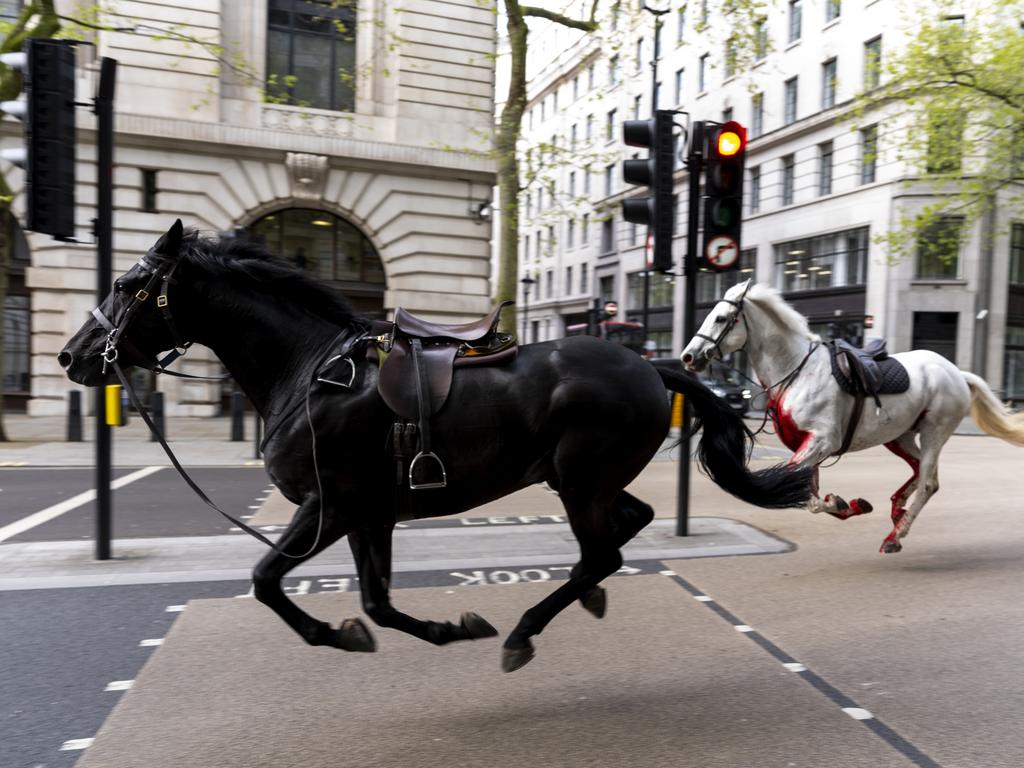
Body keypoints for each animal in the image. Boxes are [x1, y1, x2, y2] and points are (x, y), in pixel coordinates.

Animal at [59, 219, 811, 671]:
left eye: (127, 284)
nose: (73, 357)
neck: (308, 371)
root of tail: (650, 366)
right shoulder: (369, 515)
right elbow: (376, 603)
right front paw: (442, 629)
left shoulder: (329, 506)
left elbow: (268, 580)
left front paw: (335, 634)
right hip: (581, 479)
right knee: (627, 528)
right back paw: (581, 598)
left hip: (578, 479)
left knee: (603, 550)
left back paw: (526, 630)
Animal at [679, 280, 1024, 552]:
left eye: (721, 318)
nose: (688, 356)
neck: (797, 370)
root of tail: (956, 372)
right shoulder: (809, 446)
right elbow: (808, 491)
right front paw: (850, 504)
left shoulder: (821, 441)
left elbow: (803, 492)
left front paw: (840, 502)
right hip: (900, 436)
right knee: (920, 473)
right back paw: (897, 510)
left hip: (933, 432)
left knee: (927, 483)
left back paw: (895, 536)